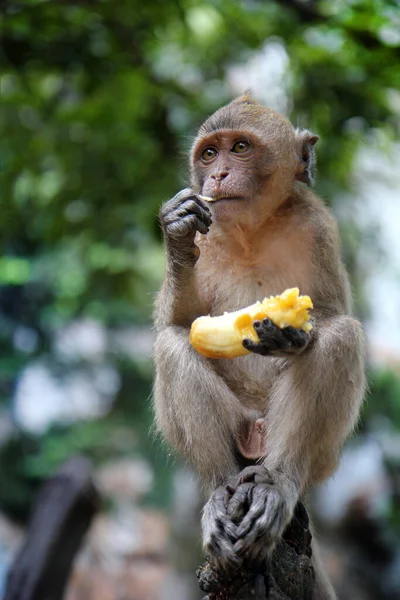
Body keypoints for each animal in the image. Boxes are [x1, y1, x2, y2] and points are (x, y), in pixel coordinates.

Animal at [153, 95, 366, 600]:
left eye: (240, 148)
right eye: (209, 154)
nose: (217, 176)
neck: (251, 232)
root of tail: (255, 440)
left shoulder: (318, 226)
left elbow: (331, 313)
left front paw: (296, 333)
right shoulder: (209, 231)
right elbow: (178, 323)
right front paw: (176, 230)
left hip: (317, 456)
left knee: (343, 338)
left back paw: (277, 484)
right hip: (239, 432)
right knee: (170, 344)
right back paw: (219, 491)